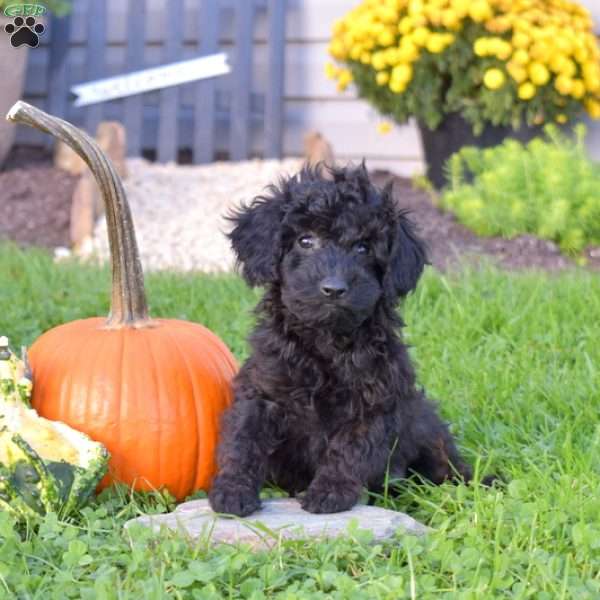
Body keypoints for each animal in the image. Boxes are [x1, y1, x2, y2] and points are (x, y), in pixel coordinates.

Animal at [211, 164, 478, 516]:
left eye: (364, 248)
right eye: (305, 240)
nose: (334, 289)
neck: (326, 340)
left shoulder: (375, 399)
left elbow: (350, 447)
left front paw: (330, 491)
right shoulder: (262, 389)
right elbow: (244, 438)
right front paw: (232, 490)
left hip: (425, 425)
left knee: (447, 466)